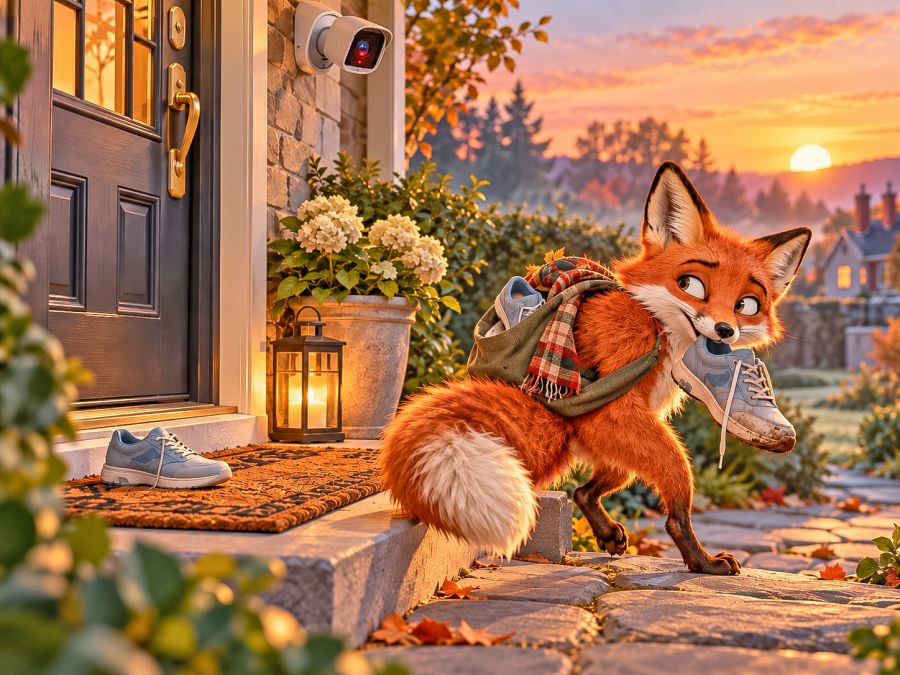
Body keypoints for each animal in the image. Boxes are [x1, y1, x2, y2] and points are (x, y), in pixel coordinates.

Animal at [380, 161, 811, 575]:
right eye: (691, 285)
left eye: (747, 305)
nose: (724, 330)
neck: (659, 328)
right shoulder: (615, 401)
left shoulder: (628, 421)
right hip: (625, 434)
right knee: (669, 497)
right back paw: (701, 562)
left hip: (613, 442)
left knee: (585, 490)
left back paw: (608, 533)